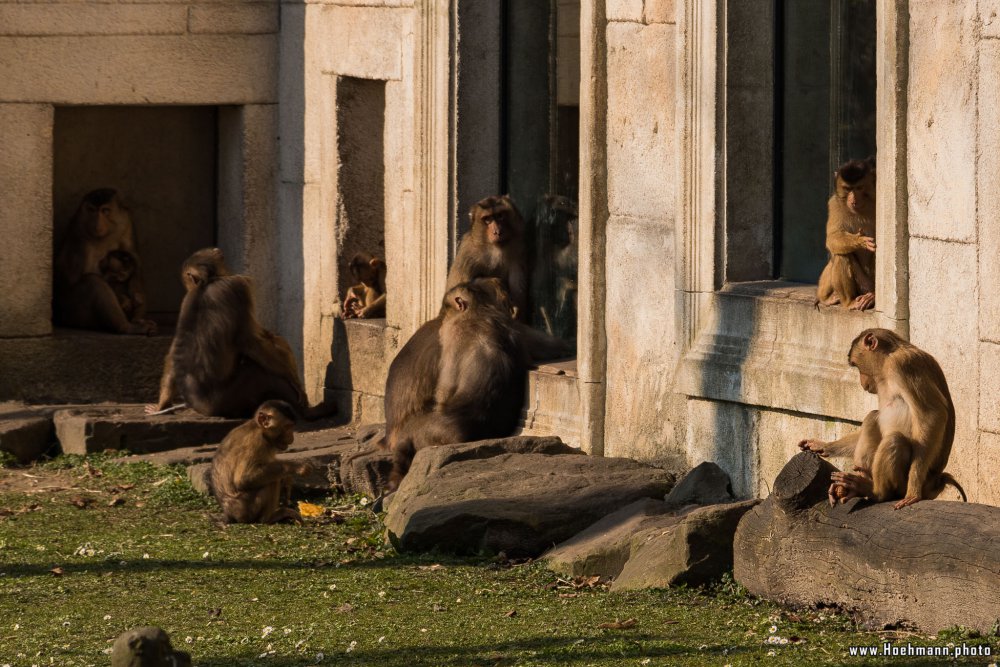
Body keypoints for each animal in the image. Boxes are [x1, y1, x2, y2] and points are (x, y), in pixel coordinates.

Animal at [53, 188, 156, 334]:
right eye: (91, 210)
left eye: (105, 211)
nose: (97, 224)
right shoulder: (78, 232)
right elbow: (75, 277)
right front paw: (123, 299)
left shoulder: (127, 223)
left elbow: (134, 264)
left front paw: (136, 302)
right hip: (71, 312)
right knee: (93, 282)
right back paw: (126, 327)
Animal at [146, 248, 336, 420]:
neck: (207, 283)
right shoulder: (238, 285)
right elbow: (252, 341)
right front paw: (296, 383)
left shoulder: (186, 300)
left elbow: (173, 352)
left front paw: (162, 403)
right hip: (229, 398)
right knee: (260, 371)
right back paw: (307, 411)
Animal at [796, 328, 968, 512]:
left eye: (856, 365)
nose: (862, 383)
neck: (889, 359)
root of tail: (935, 481)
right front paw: (823, 446)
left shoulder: (903, 365)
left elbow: (932, 415)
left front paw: (913, 492)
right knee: (872, 417)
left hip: (901, 482)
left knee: (894, 439)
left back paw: (875, 491)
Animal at [820, 159, 876, 314]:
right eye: (847, 188)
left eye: (859, 187)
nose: (853, 199)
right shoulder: (834, 203)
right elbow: (833, 238)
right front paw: (860, 241)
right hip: (862, 286)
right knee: (841, 255)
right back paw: (848, 302)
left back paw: (873, 296)